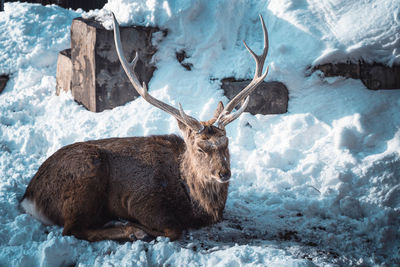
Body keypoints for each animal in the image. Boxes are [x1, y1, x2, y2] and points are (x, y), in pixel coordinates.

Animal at [19, 14, 268, 243]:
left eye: (226, 143)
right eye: (200, 148)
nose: (224, 173)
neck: (193, 204)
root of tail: (29, 197)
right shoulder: (140, 199)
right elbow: (173, 229)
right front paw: (135, 226)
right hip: (86, 174)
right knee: (72, 229)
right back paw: (130, 230)